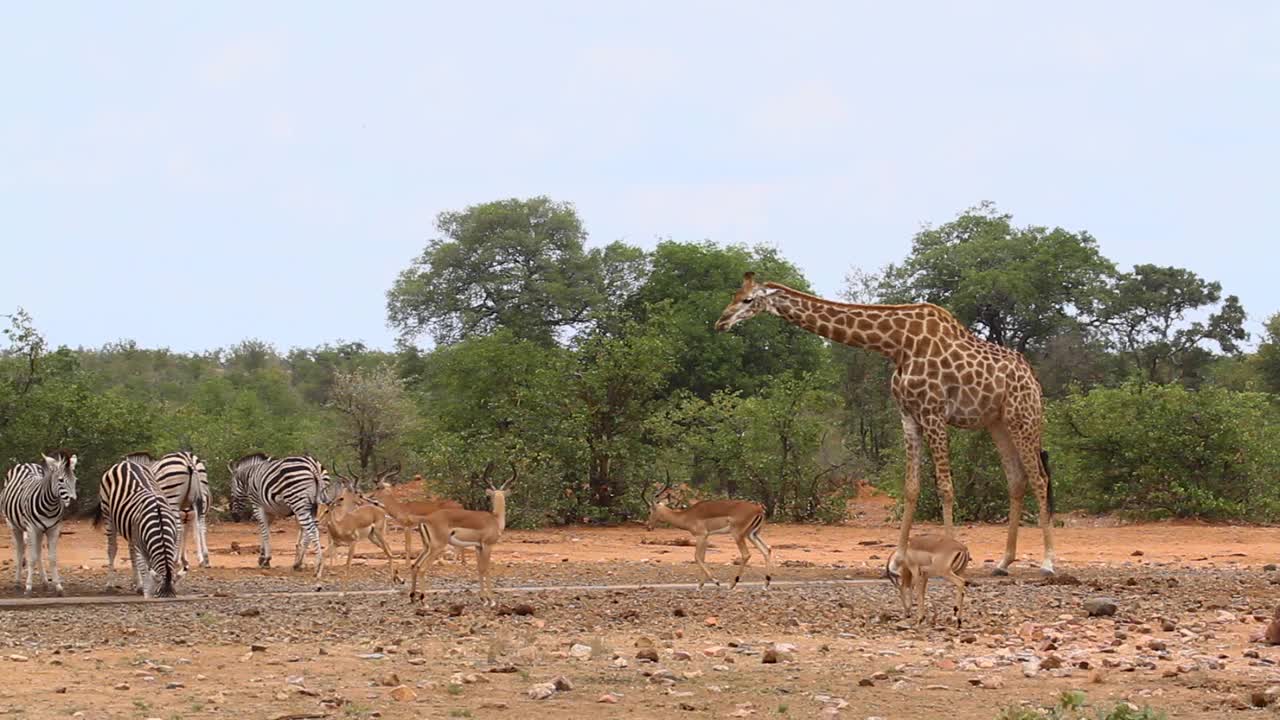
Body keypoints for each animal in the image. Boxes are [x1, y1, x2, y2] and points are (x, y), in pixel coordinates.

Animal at [0, 448, 78, 594]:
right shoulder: (31, 528)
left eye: (75, 480)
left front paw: (58, 586)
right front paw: (28, 587)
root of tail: (25, 463)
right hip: (14, 525)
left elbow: (52, 558)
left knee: (38, 552)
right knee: (20, 551)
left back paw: (45, 582)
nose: (74, 501)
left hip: (40, 531)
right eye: (60, 480)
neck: (50, 507)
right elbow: (31, 558)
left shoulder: (54, 529)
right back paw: (18, 582)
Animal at [93, 458, 180, 594]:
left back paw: (136, 583)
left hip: (130, 526)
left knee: (131, 551)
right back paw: (110, 584)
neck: (159, 522)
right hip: (107, 513)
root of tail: (126, 462)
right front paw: (145, 587)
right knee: (112, 549)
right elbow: (144, 567)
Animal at [716, 271, 1054, 573]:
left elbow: (945, 487)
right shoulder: (908, 415)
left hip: (1023, 417)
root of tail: (1034, 379)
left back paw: (1048, 562)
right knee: (1017, 479)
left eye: (747, 299)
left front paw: (951, 557)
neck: (896, 343)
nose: (721, 322)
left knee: (1039, 478)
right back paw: (1004, 562)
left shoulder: (933, 411)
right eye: (734, 295)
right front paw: (896, 560)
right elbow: (911, 488)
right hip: (997, 423)